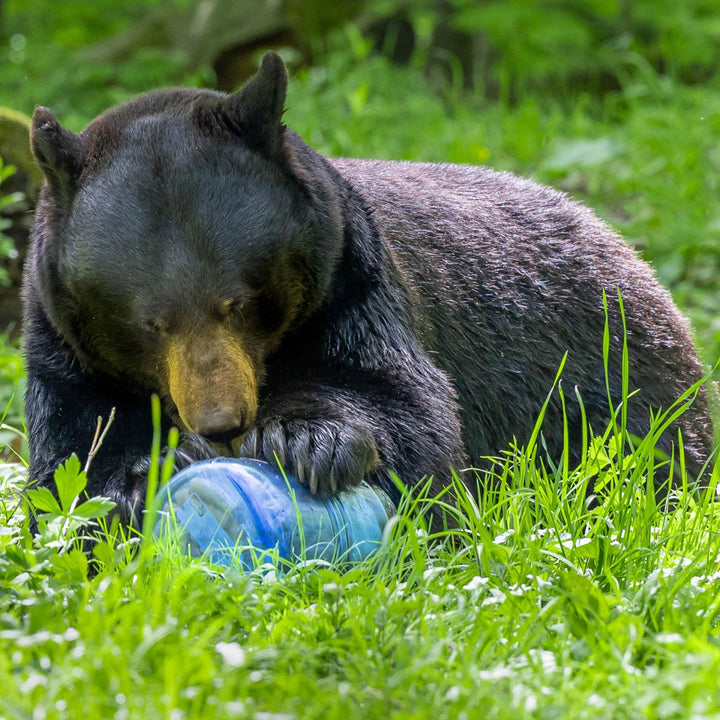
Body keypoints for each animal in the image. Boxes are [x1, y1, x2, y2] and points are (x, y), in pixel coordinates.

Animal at [22, 51, 714, 526]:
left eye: (239, 304)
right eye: (149, 323)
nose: (223, 424)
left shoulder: (354, 281)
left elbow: (404, 403)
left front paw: (309, 440)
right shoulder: (61, 345)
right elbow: (69, 455)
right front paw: (140, 479)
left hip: (622, 381)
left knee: (654, 452)